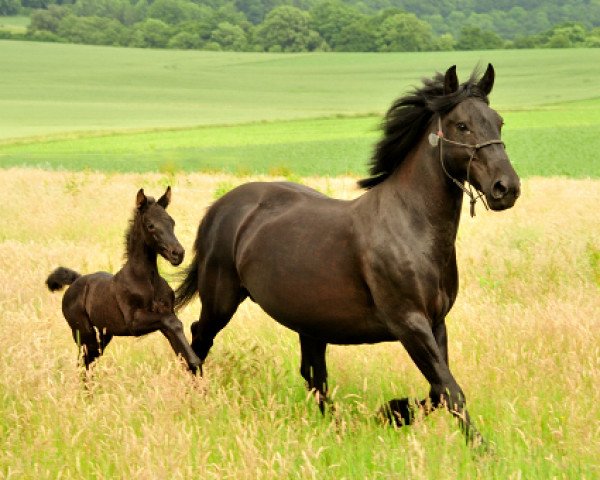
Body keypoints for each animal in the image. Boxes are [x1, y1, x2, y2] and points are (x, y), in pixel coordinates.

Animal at [46, 187, 202, 372]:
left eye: (172, 222)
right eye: (150, 225)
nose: (177, 253)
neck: (147, 280)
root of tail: (76, 281)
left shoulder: (164, 317)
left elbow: (178, 340)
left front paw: (194, 364)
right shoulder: (134, 322)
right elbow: (172, 322)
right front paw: (195, 362)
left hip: (103, 334)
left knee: (89, 361)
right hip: (84, 333)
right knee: (83, 363)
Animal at [175, 65, 520, 440]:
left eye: (498, 122)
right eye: (461, 125)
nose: (507, 188)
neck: (412, 228)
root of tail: (220, 208)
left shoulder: (436, 322)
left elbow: (438, 391)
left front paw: (392, 411)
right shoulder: (409, 323)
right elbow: (451, 391)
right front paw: (479, 447)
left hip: (309, 321)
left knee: (313, 375)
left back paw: (332, 424)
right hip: (222, 299)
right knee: (199, 338)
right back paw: (198, 398)